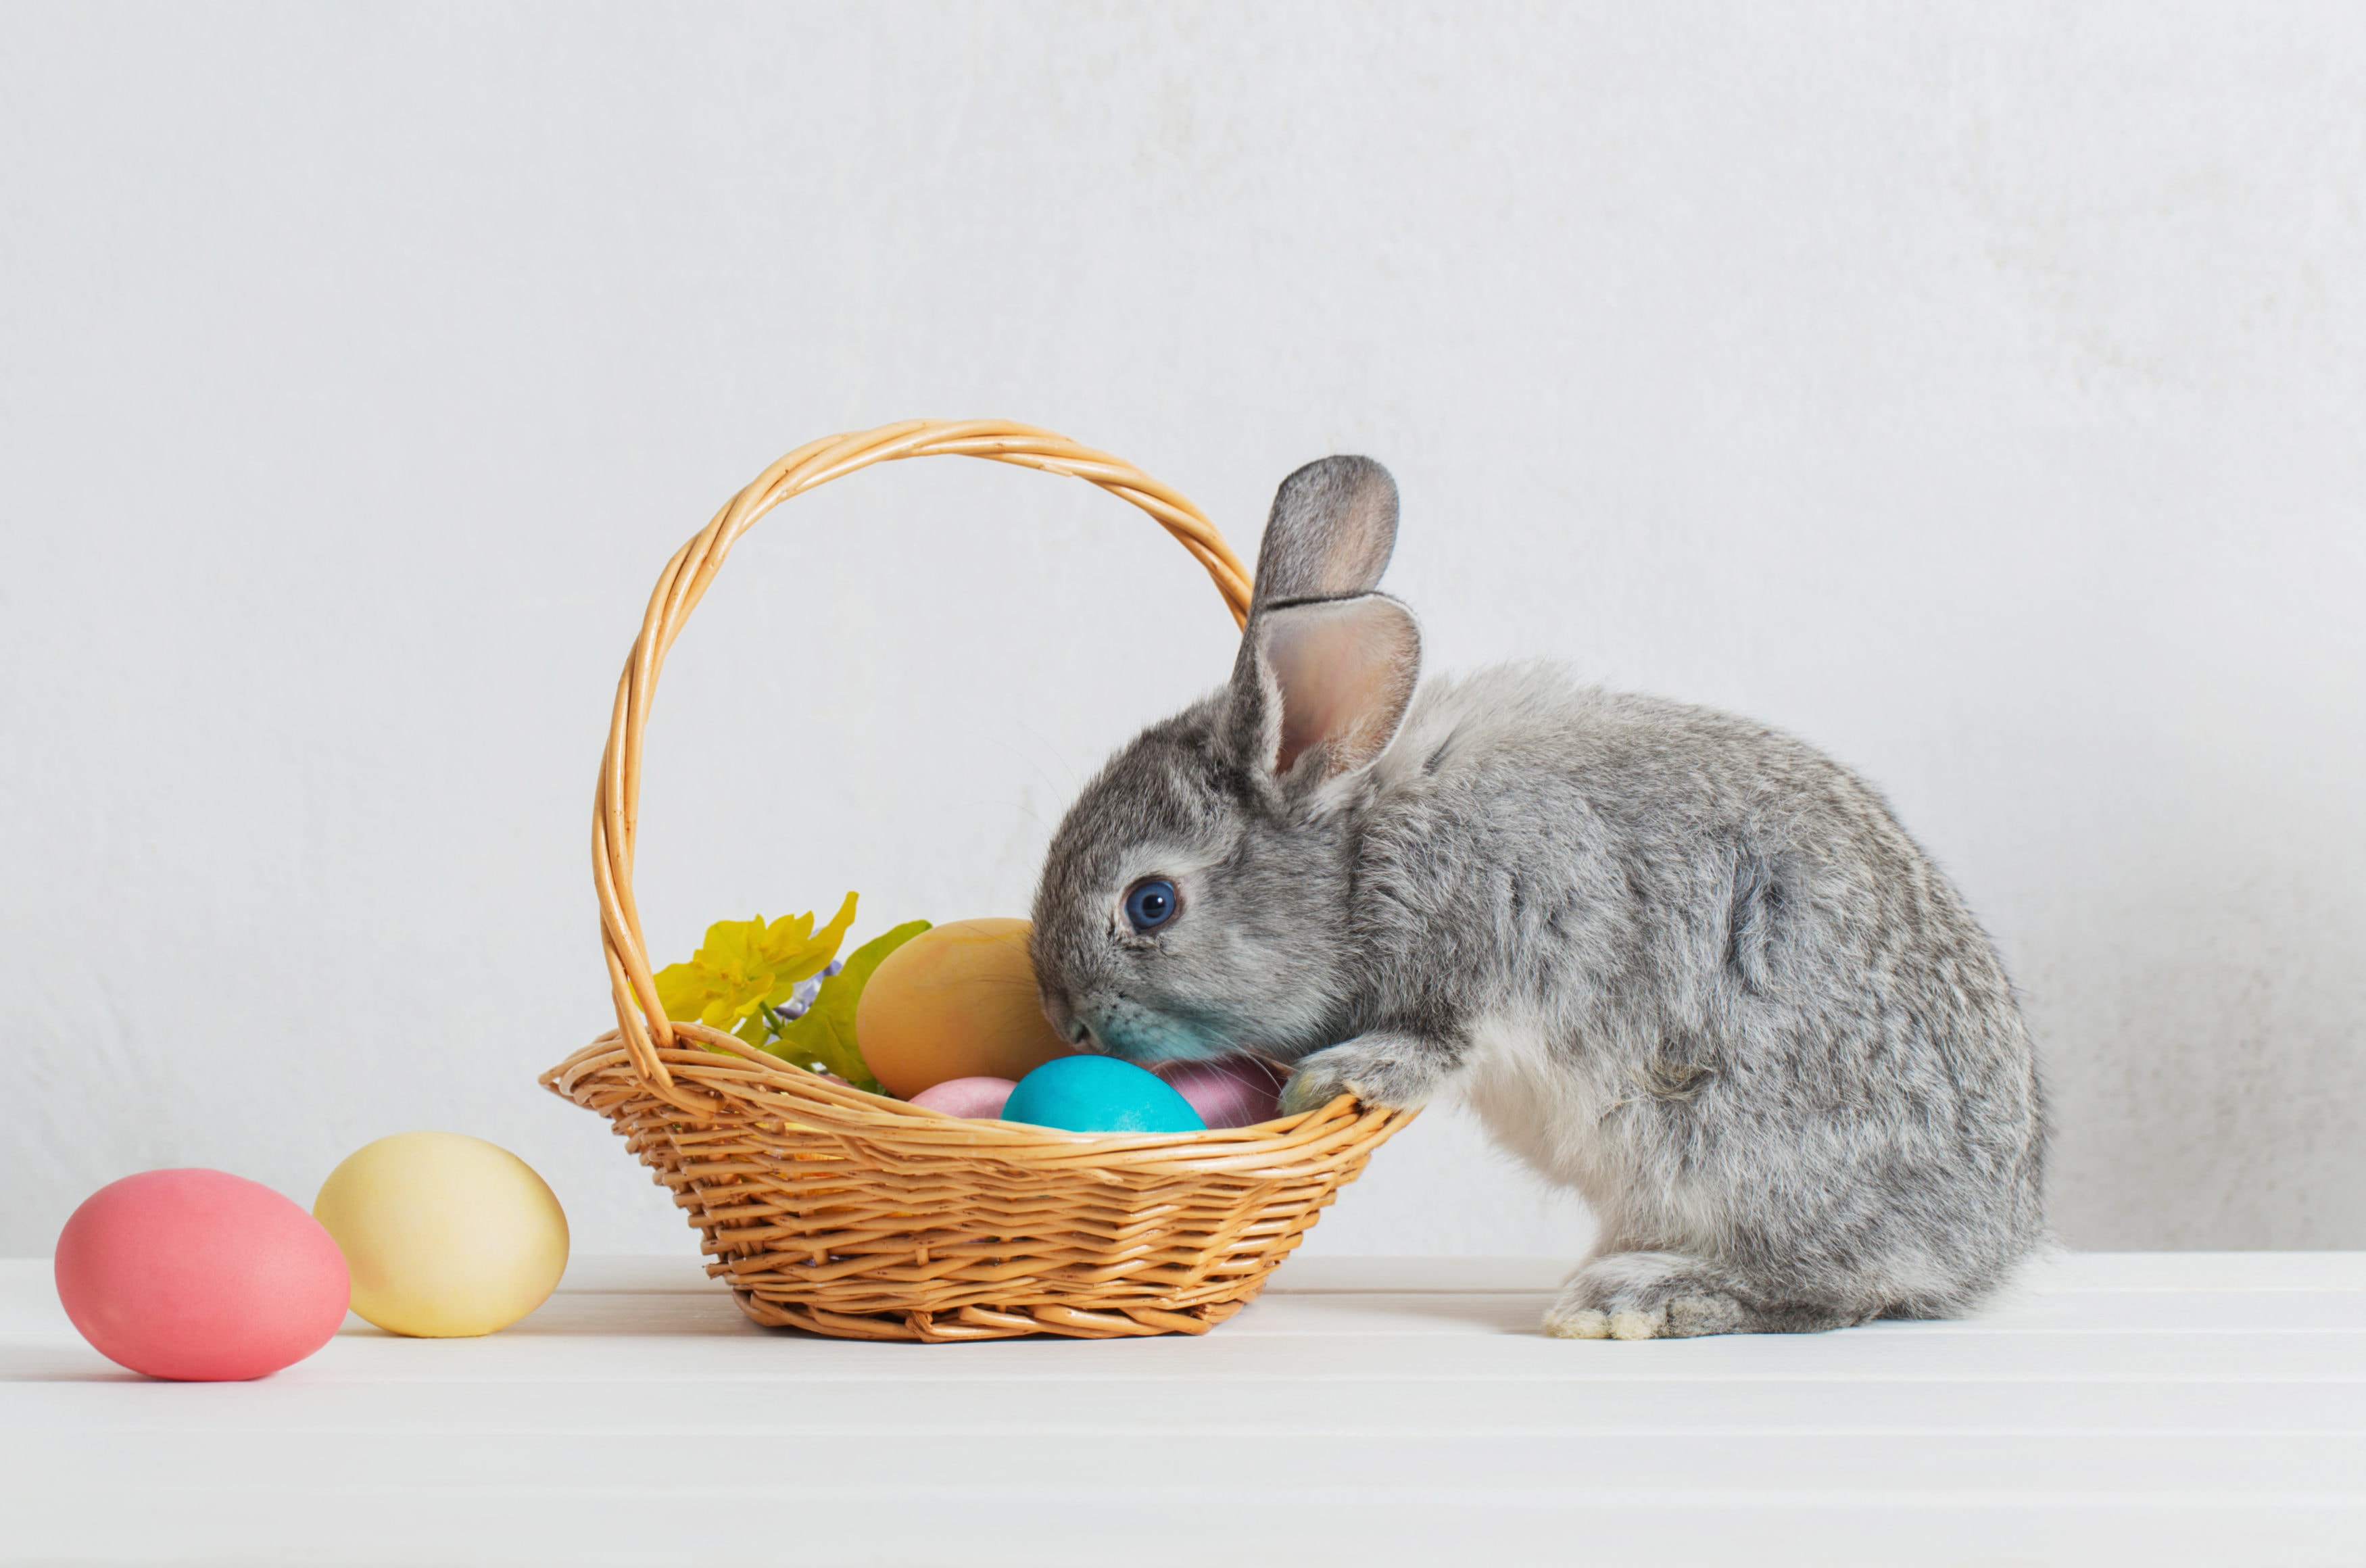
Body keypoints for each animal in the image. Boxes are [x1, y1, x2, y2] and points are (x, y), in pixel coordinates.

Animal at [1027, 456, 2044, 1333]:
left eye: (1151, 903)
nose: (1067, 1022)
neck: (1358, 864)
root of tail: (1994, 1245)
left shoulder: (1493, 943)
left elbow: (1437, 1042)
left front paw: (1337, 1075)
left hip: (1731, 1151)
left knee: (1838, 1286)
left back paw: (1639, 1297)